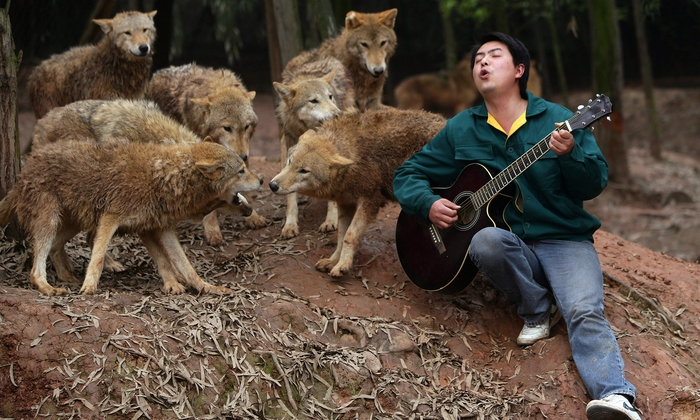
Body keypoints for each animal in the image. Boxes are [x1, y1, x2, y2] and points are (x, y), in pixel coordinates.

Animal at [0, 140, 262, 296]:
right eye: (241, 171)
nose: (261, 180)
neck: (165, 180)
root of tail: (26, 168)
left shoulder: (154, 228)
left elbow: (182, 265)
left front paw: (202, 287)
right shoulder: (111, 218)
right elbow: (97, 257)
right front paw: (89, 287)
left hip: (71, 222)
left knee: (55, 248)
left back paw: (68, 278)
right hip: (52, 221)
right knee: (37, 267)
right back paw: (48, 287)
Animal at [144, 63, 262, 244]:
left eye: (246, 126)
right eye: (227, 128)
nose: (243, 156)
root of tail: (158, 72)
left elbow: (246, 188)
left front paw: (253, 216)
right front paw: (212, 230)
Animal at [268, 108, 442, 278]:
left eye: (304, 170)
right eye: (290, 162)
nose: (272, 185)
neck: (353, 159)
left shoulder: (370, 201)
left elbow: (350, 235)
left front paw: (343, 266)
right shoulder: (345, 204)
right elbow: (341, 236)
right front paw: (333, 261)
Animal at [274, 57, 356, 238]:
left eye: (330, 97)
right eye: (313, 101)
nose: (338, 113)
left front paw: (330, 221)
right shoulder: (290, 156)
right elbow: (290, 197)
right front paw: (290, 225)